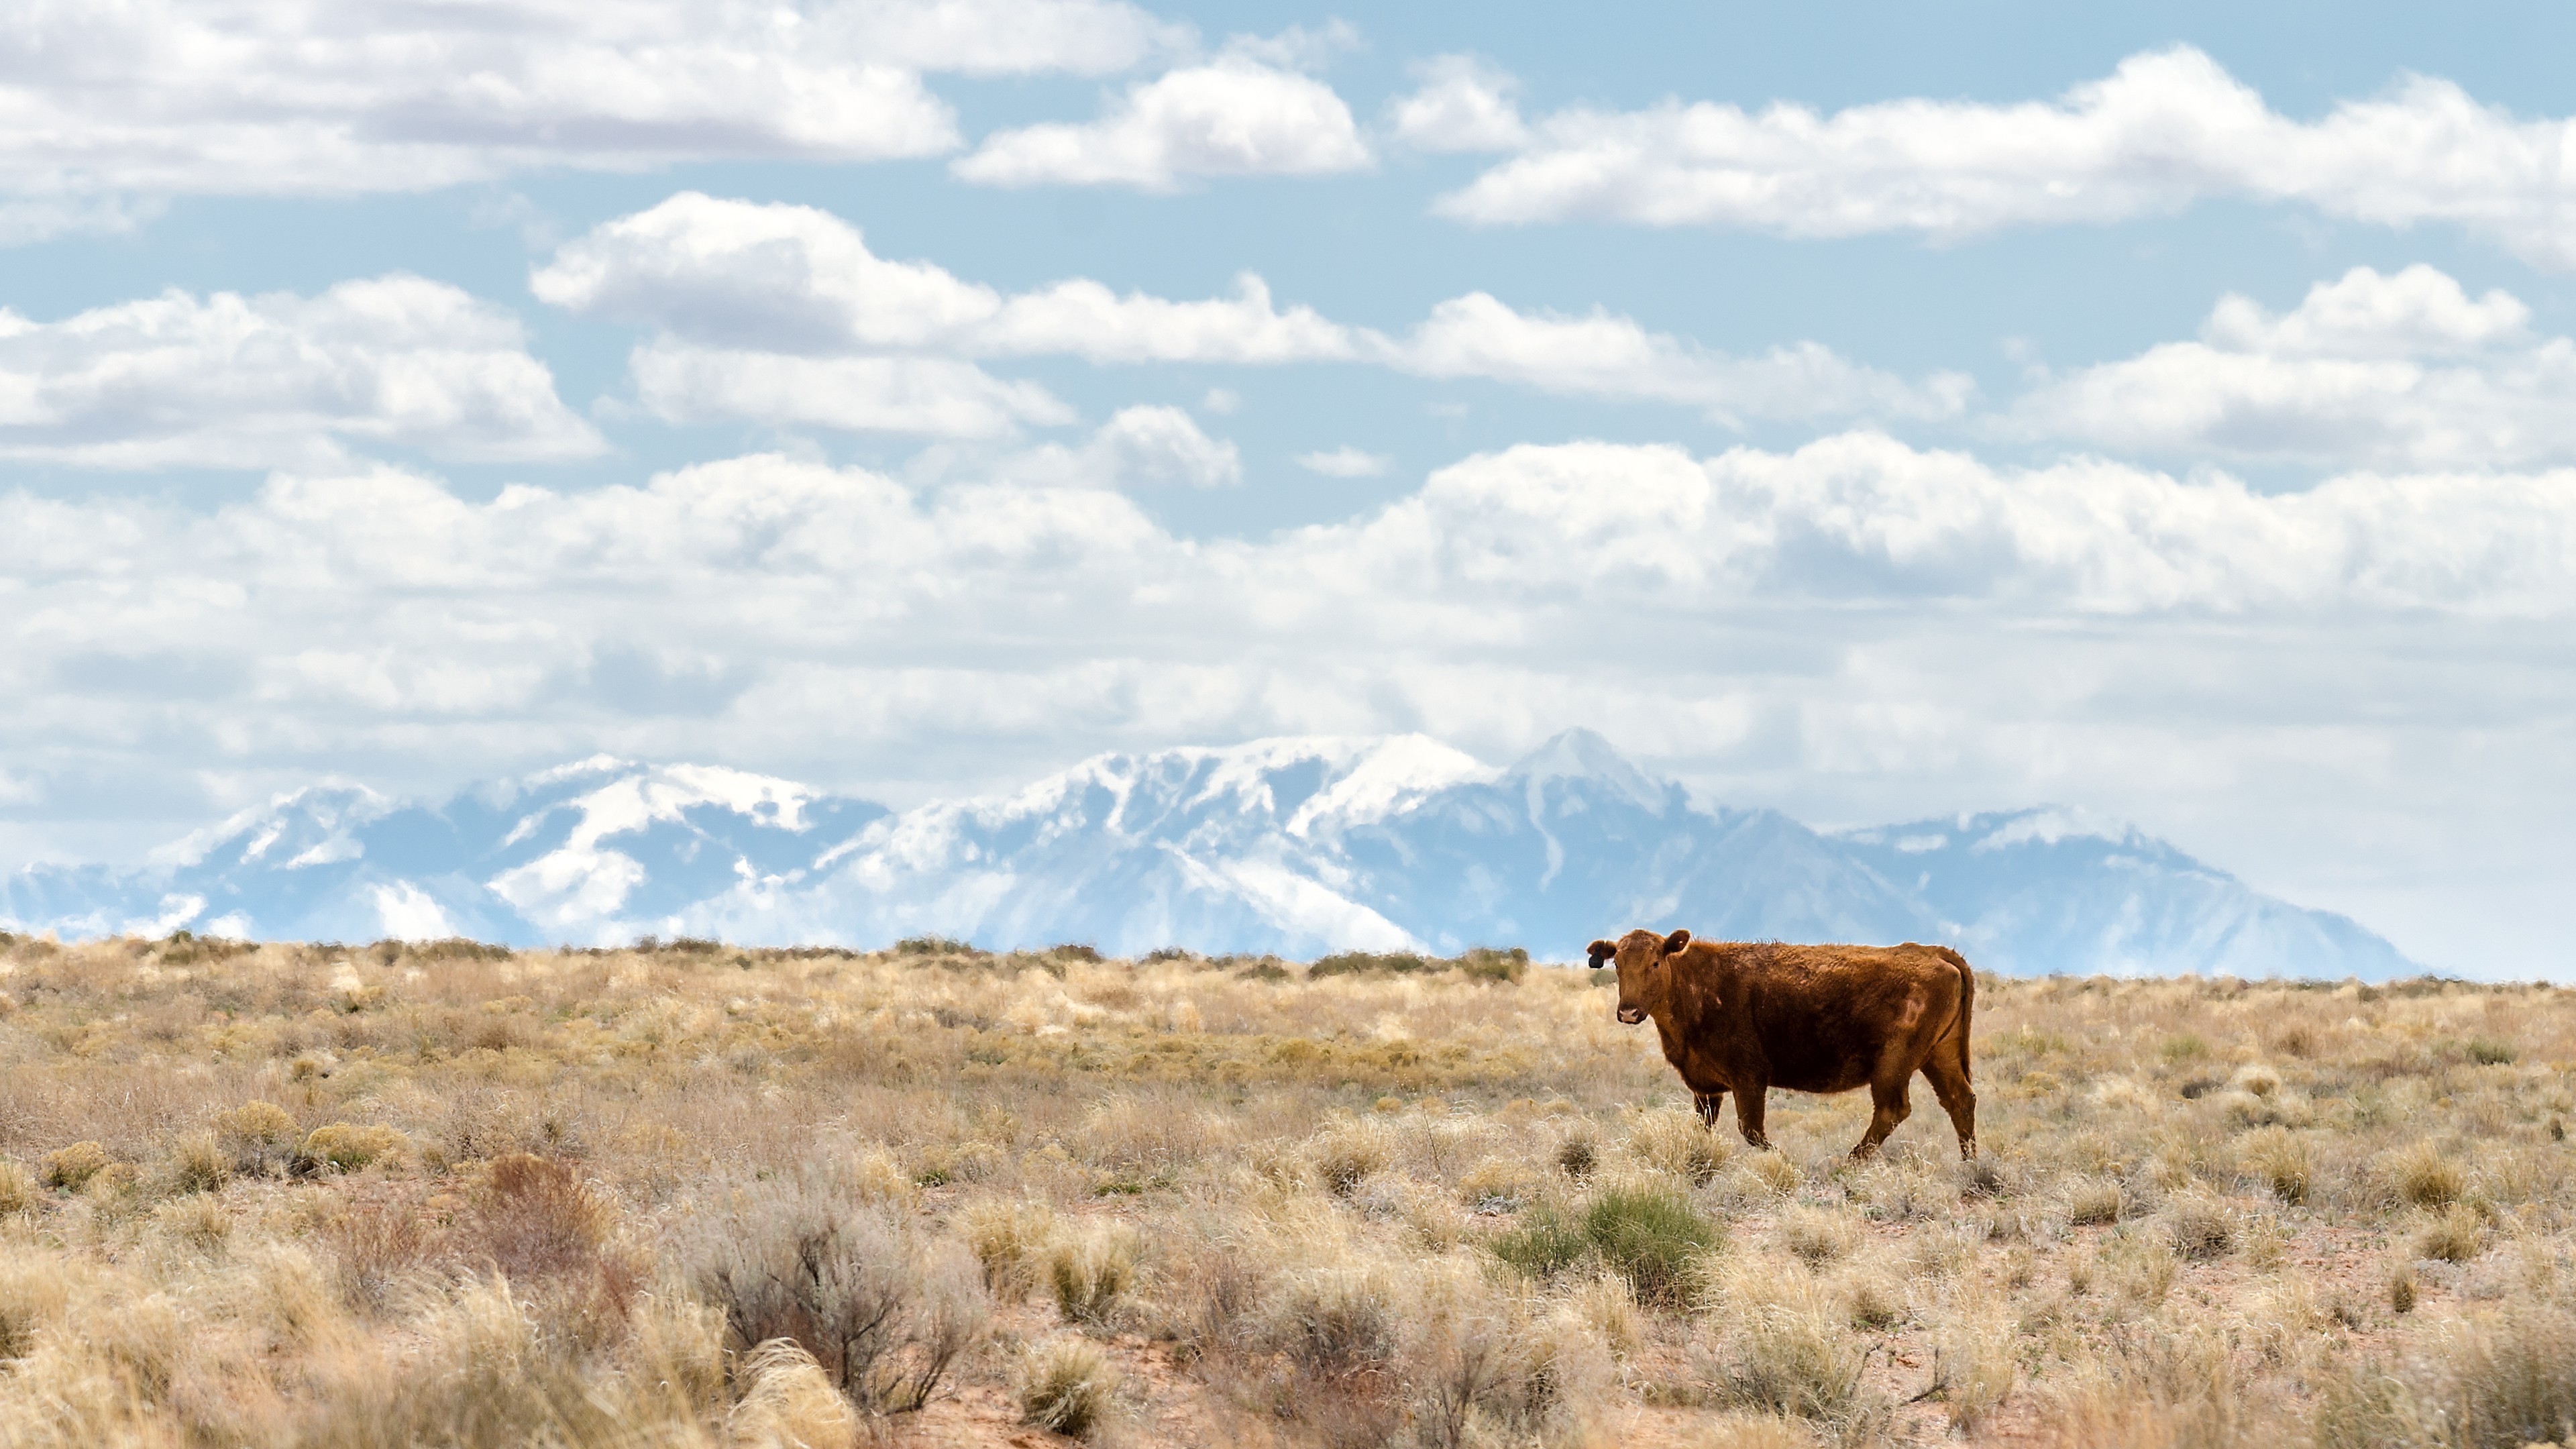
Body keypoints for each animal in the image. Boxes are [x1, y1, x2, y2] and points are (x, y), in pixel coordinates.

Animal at [1576, 922, 1978, 1160]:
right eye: (1617, 965)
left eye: (1656, 963)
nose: (1629, 1012)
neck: (1697, 983)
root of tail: (1933, 952)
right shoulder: (1705, 1088)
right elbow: (1705, 1128)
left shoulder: (1749, 1078)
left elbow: (1752, 1130)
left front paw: (1781, 1157)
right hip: (1938, 1056)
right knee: (1960, 1100)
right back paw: (1969, 1163)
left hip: (1893, 1064)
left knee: (1893, 1109)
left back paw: (1849, 1162)